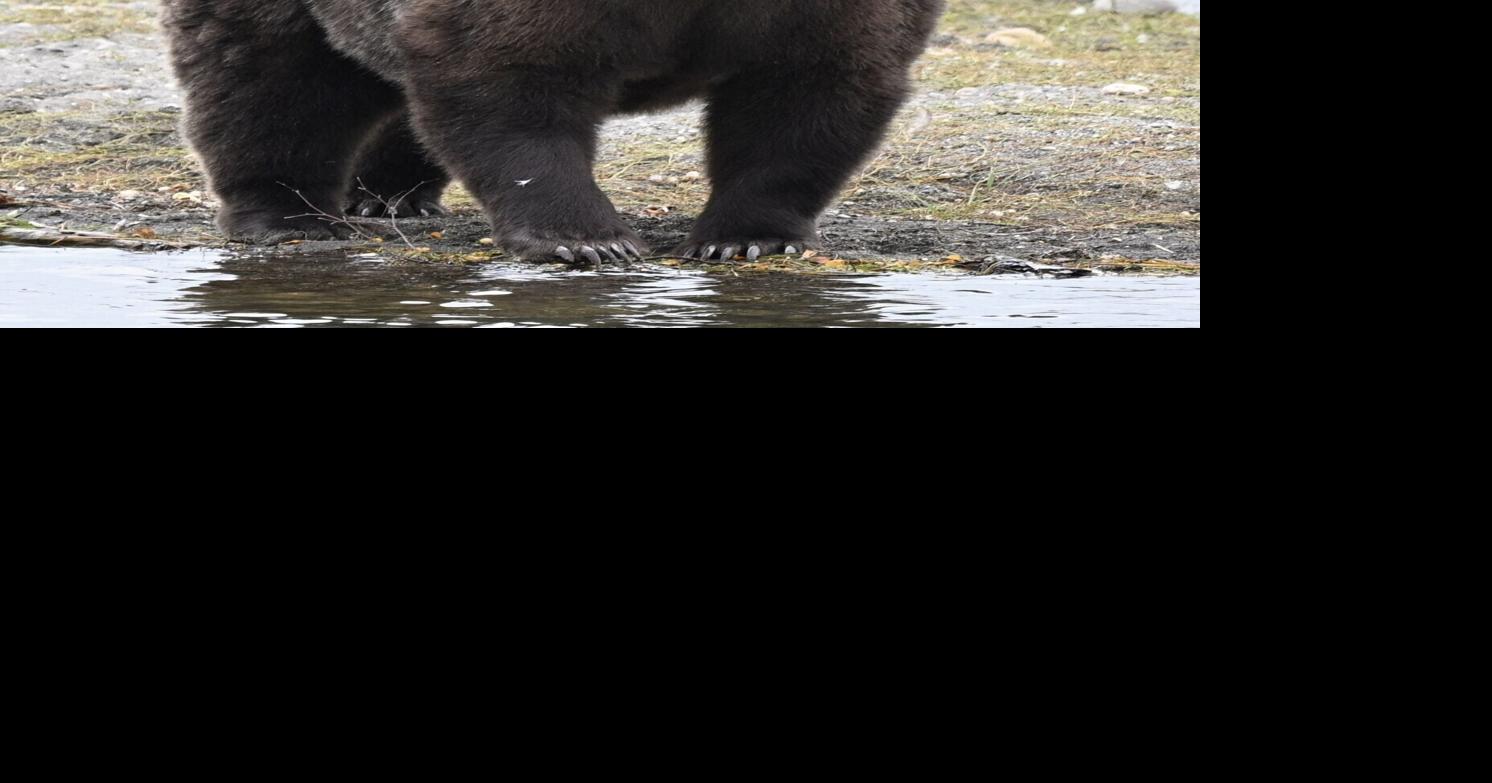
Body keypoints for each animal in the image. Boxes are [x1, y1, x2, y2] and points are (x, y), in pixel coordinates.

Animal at [160, 0, 946, 262]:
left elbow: (808, 97)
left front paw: (747, 236)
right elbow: (511, 85)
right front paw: (587, 240)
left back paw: (390, 195)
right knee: (269, 80)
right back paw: (287, 214)